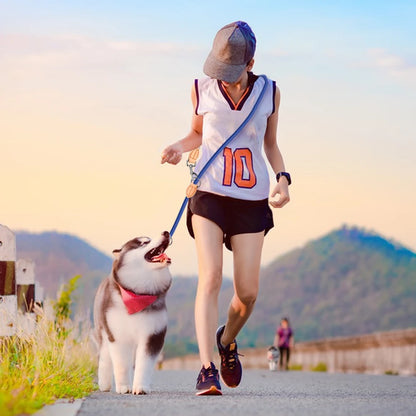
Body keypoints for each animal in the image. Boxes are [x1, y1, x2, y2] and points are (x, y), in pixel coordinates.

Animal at [93, 231, 171, 396]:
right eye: (143, 242)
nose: (166, 232)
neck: (139, 293)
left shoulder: (153, 334)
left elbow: (144, 364)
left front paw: (140, 387)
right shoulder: (117, 335)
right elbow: (121, 365)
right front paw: (123, 387)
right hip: (103, 331)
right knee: (104, 357)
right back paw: (104, 384)